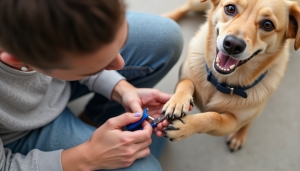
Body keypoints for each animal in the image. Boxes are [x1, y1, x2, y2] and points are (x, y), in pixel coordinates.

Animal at [163, 0, 300, 151]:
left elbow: (213, 117)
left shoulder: (232, 123)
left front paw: (187, 126)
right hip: (197, 4)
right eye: (230, 8)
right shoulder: (185, 75)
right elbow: (186, 82)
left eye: (268, 24)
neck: (219, 82)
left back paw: (240, 135)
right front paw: (178, 101)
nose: (233, 45)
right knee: (186, 7)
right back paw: (168, 17)